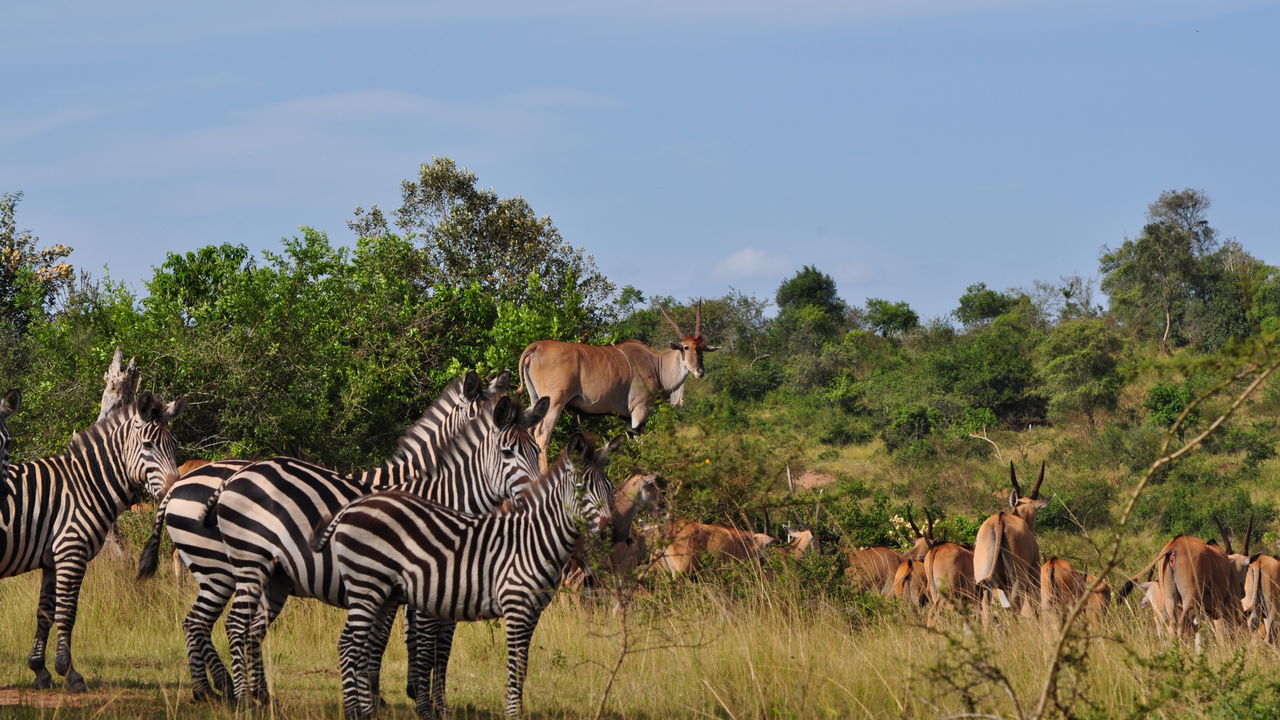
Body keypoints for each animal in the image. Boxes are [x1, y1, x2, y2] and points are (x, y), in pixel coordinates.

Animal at [0, 389, 186, 691]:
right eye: (147, 445)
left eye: (174, 445)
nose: (173, 492)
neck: (84, 485)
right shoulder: (71, 552)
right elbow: (67, 613)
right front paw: (69, 672)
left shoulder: (51, 561)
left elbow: (45, 613)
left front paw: (40, 670)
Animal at [137, 366, 522, 696]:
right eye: (483, 422)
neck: (429, 488)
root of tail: (179, 483)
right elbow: (390, 637)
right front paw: (381, 692)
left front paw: (409, 690)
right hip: (218, 566)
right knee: (200, 624)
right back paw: (217, 689)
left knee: (204, 625)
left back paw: (224, 687)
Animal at [314, 430, 624, 717]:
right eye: (582, 489)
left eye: (609, 488)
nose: (613, 533)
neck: (534, 539)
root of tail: (353, 507)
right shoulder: (516, 606)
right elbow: (514, 667)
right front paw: (513, 713)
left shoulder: (533, 611)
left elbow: (523, 667)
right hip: (366, 585)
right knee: (349, 647)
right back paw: (353, 712)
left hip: (382, 592)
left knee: (358, 646)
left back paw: (364, 711)